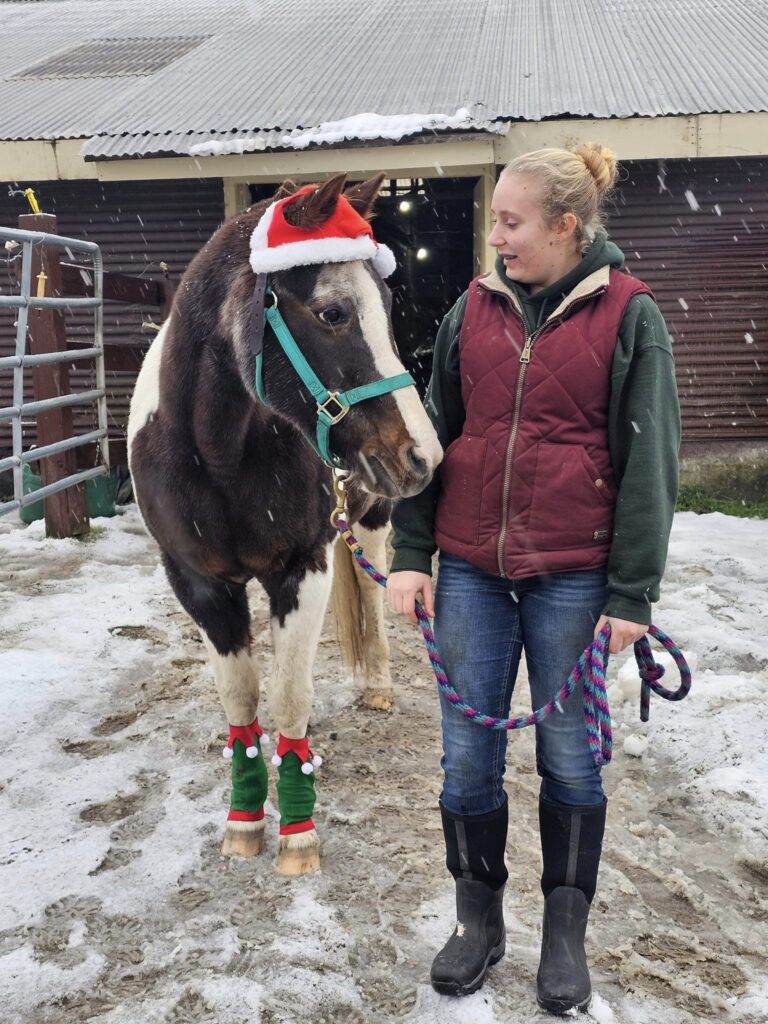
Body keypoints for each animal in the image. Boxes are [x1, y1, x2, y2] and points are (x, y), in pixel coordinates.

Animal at [128, 174, 442, 872]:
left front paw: (298, 836)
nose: (424, 456)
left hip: (370, 519)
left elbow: (290, 696)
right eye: (333, 313)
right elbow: (243, 700)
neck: (217, 451)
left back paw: (376, 684)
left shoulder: (305, 566)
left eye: (388, 302)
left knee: (372, 597)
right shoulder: (199, 585)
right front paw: (244, 823)